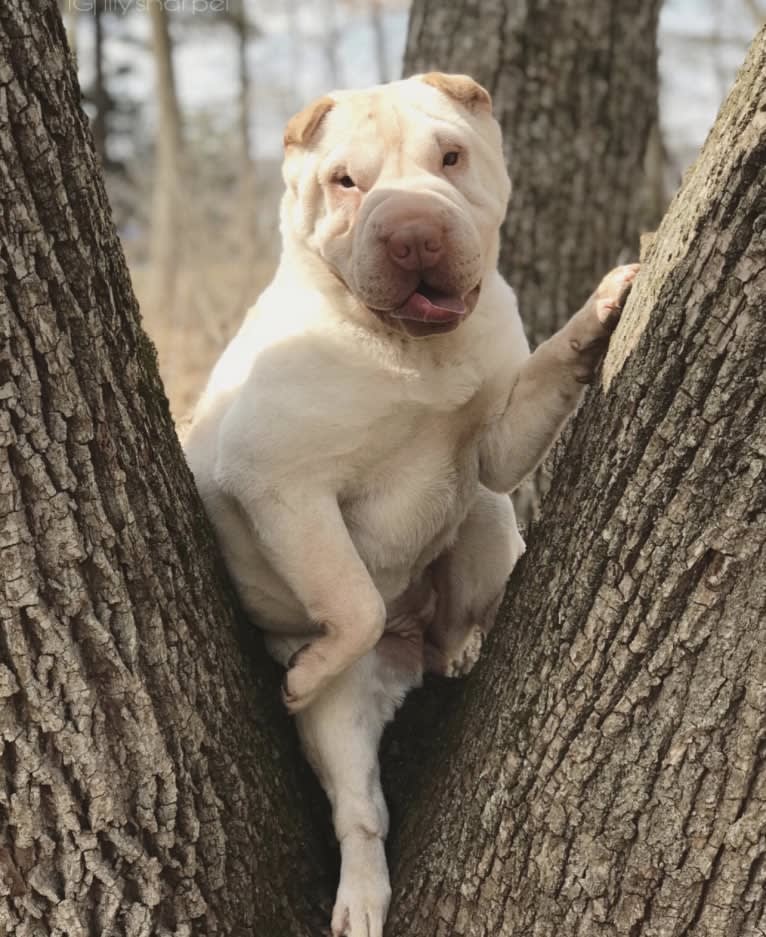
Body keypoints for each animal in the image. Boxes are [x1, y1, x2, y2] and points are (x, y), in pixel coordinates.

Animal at [184, 75, 636, 936]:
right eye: (345, 182)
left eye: (450, 157)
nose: (416, 233)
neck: (411, 354)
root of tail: (407, 657)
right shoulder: (279, 482)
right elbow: (353, 597)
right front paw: (308, 666)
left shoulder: (498, 443)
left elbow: (541, 376)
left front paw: (601, 309)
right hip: (342, 731)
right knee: (362, 811)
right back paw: (360, 892)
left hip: (488, 524)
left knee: (462, 600)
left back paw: (454, 646)